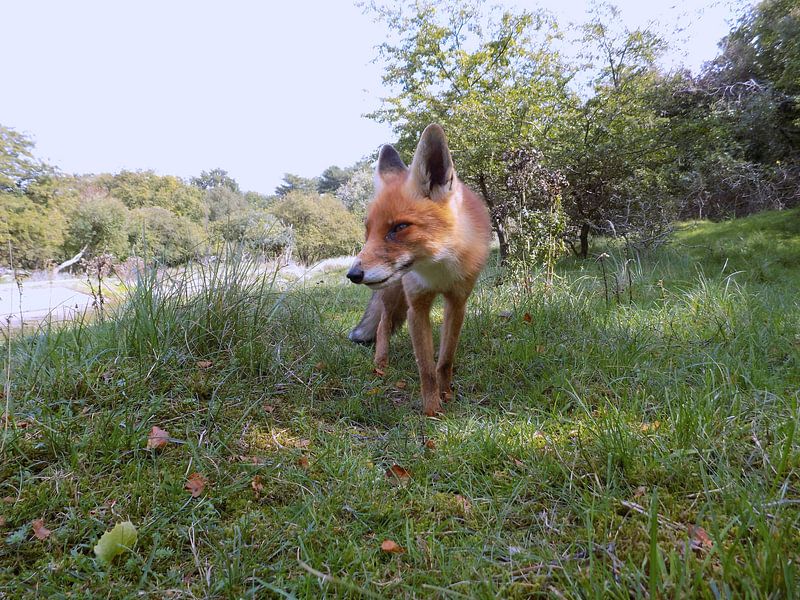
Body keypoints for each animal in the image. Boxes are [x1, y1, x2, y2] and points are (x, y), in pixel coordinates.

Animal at [346, 124, 492, 416]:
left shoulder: (457, 302)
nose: (353, 274)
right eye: (368, 232)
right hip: (392, 295)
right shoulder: (417, 305)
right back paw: (381, 364)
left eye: (399, 227)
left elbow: (445, 360)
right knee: (382, 325)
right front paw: (432, 411)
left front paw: (446, 395)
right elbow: (426, 368)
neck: (438, 270)